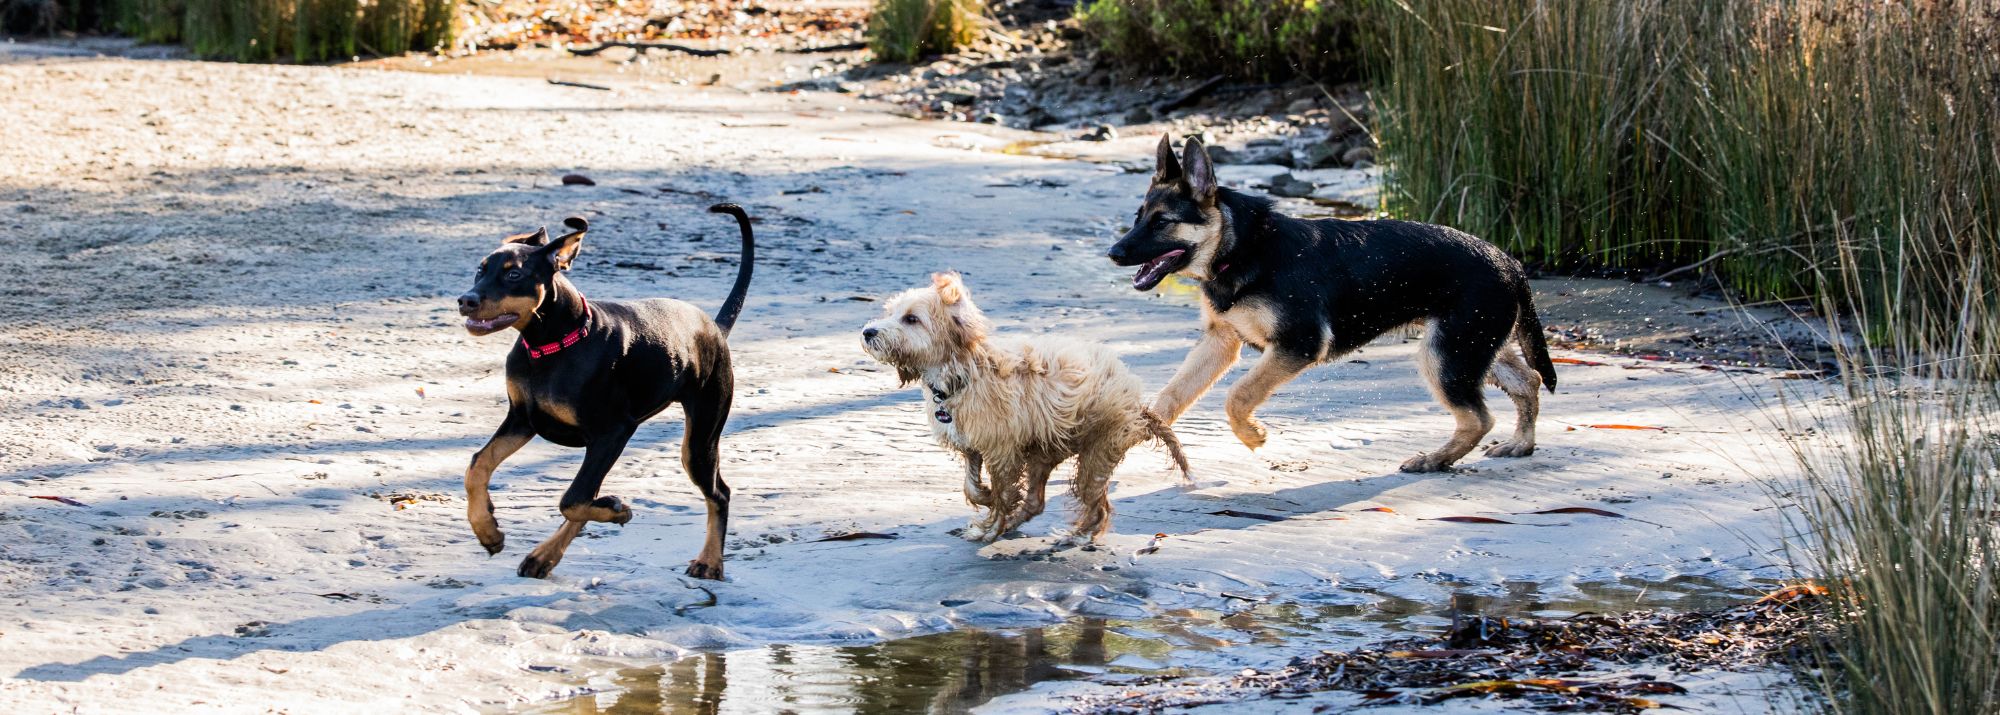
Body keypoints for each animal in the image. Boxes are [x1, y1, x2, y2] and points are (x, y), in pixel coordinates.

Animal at [458, 203, 752, 579]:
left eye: (513, 275)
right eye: (480, 270)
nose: (465, 300)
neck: (551, 345)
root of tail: (713, 326)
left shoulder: (613, 430)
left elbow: (571, 499)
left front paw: (616, 509)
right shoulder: (523, 418)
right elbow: (478, 465)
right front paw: (487, 530)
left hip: (700, 435)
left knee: (719, 493)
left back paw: (709, 561)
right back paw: (545, 555)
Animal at [856, 273, 1184, 543]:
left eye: (911, 319)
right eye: (890, 313)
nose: (868, 332)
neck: (965, 374)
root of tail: (1137, 401)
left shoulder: (1003, 451)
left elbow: (1003, 493)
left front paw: (990, 528)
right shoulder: (973, 445)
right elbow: (972, 486)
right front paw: (985, 500)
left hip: (1097, 450)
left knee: (1097, 504)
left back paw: (1077, 535)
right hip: (1043, 451)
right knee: (1036, 502)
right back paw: (1020, 524)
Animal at [1112, 137, 1560, 475]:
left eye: (1161, 222)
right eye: (1137, 218)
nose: (1113, 253)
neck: (1239, 248)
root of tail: (1509, 260)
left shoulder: (1298, 344)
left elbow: (1238, 395)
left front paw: (1252, 434)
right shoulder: (1220, 342)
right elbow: (1170, 397)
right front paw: (1132, 434)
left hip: (1445, 355)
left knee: (1478, 417)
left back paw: (1434, 460)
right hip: (1474, 348)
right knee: (1528, 381)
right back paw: (1521, 444)